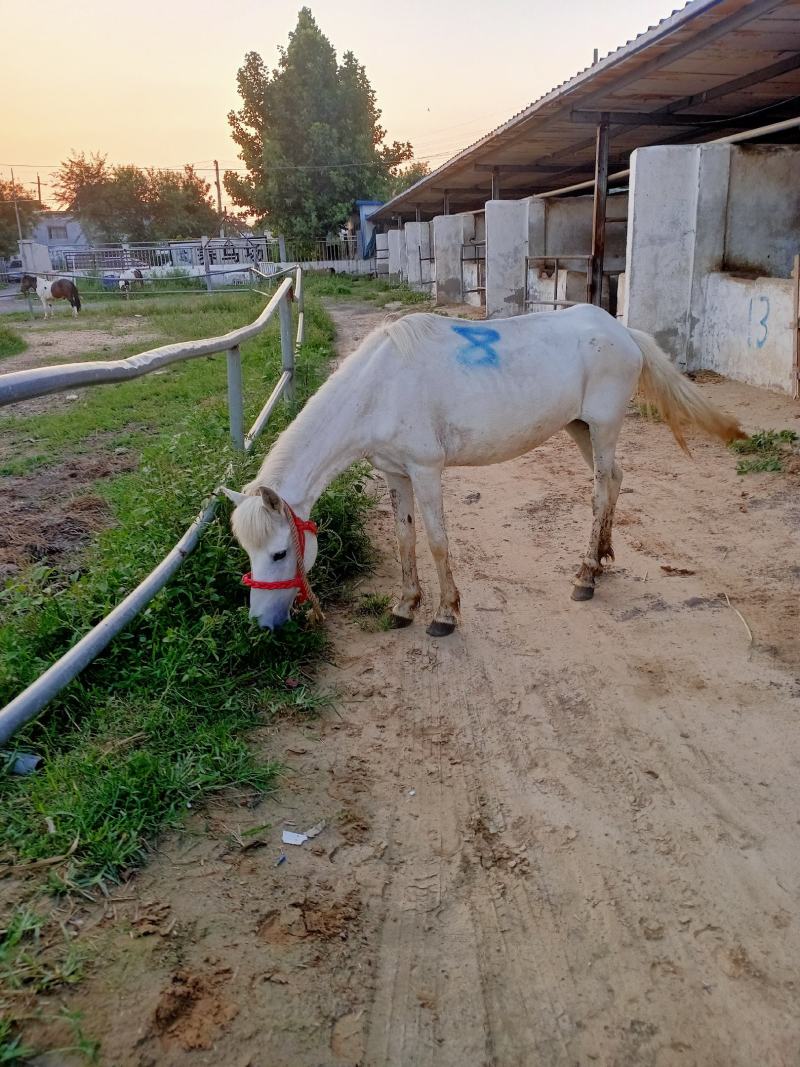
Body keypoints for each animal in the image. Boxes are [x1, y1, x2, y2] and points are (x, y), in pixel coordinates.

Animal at [222, 304, 744, 635]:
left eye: (279, 554)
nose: (261, 626)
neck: (379, 387)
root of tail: (622, 332)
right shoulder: (395, 474)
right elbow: (405, 538)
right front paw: (404, 607)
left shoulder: (425, 470)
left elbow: (437, 541)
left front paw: (445, 615)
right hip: (580, 428)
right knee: (614, 481)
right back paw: (601, 560)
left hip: (604, 426)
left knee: (599, 491)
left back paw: (585, 577)